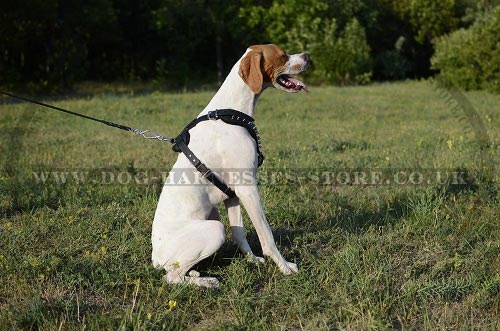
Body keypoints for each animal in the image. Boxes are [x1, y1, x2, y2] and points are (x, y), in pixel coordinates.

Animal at [150, 44, 310, 288]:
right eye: (283, 55)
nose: (307, 56)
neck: (230, 111)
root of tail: (155, 257)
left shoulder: (232, 194)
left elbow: (240, 233)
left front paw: (253, 260)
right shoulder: (248, 189)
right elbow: (267, 236)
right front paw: (284, 267)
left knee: (177, 269)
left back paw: (195, 273)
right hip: (215, 229)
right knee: (171, 277)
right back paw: (207, 282)